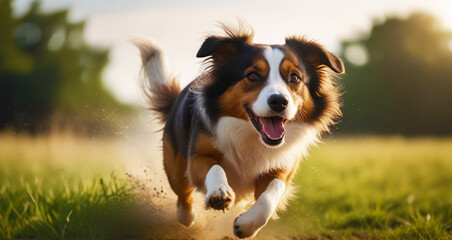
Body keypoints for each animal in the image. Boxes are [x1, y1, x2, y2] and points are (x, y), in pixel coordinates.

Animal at [132, 23, 344, 238]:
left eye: (294, 77)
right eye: (252, 75)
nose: (279, 101)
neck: (251, 134)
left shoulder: (282, 167)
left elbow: (272, 192)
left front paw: (247, 224)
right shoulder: (197, 157)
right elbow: (215, 167)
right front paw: (219, 193)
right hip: (174, 164)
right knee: (183, 196)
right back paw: (192, 219)